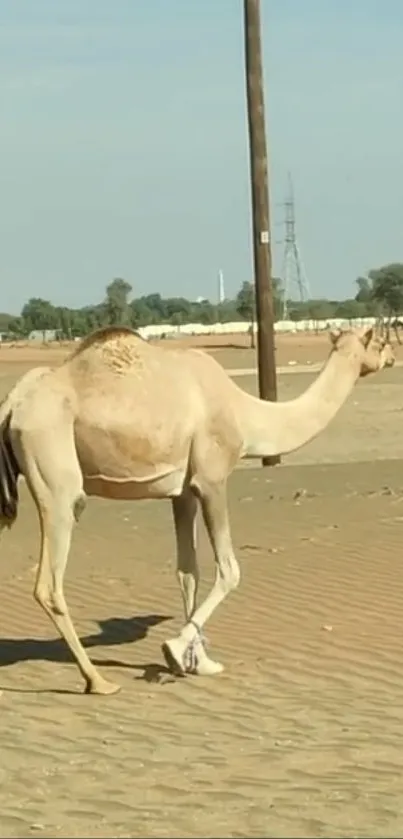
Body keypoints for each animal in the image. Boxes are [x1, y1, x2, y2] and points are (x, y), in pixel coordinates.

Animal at [0, 324, 394, 692]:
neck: (246, 414)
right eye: (381, 339)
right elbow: (229, 570)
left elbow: (188, 572)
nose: (392, 356)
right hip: (56, 477)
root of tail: (14, 404)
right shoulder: (211, 479)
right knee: (50, 582)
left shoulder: (183, 492)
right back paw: (98, 681)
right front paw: (174, 651)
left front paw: (198, 663)